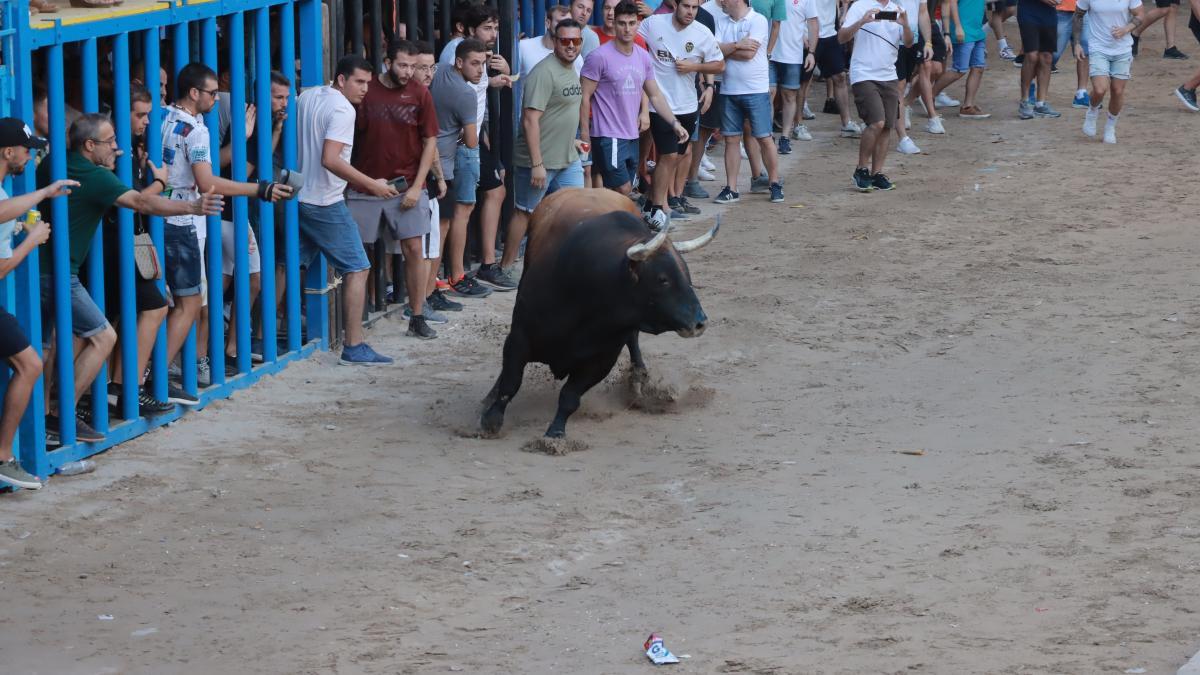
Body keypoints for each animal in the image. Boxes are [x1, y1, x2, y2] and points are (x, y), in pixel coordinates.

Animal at [480, 186, 720, 437]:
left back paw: (638, 379)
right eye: (662, 279)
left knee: (633, 340)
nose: (700, 322)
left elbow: (570, 397)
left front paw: (555, 433)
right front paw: (491, 419)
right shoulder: (520, 337)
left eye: (687, 275)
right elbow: (510, 382)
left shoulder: (602, 359)